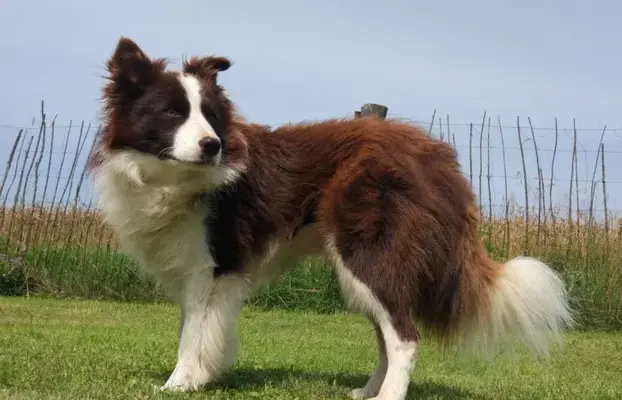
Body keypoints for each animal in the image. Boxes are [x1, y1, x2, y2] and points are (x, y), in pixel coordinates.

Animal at [89, 36, 576, 398]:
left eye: (210, 116)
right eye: (173, 112)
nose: (213, 145)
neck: (173, 179)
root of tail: (437, 157)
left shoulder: (213, 265)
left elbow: (193, 334)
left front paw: (179, 383)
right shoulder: (194, 267)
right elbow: (194, 329)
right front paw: (201, 377)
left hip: (368, 253)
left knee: (404, 336)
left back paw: (388, 396)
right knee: (386, 333)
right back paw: (367, 391)